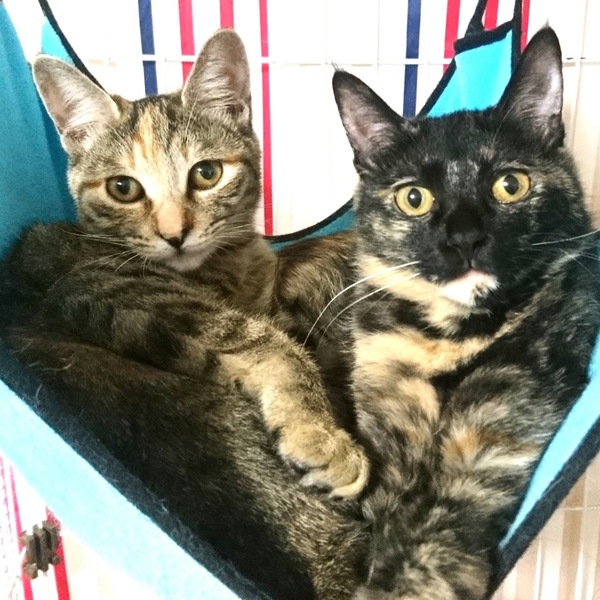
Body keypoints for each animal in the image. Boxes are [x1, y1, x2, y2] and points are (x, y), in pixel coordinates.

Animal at [0, 30, 367, 599]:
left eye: (207, 173)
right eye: (123, 188)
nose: (175, 233)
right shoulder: (106, 288)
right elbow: (268, 342)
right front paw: (318, 434)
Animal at [332, 27, 600, 599]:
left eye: (509, 185)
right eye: (414, 198)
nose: (465, 239)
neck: (448, 336)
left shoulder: (497, 422)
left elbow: (438, 524)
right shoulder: (388, 420)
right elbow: (387, 514)